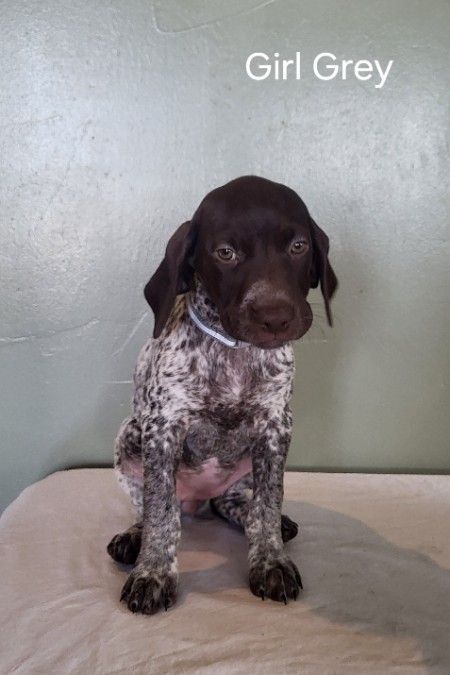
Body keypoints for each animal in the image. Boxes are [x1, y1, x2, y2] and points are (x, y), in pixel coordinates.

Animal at [106, 177, 338, 616]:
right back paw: (134, 536)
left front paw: (271, 560)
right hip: (129, 436)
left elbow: (268, 502)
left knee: (233, 503)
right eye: (225, 253)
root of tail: (198, 500)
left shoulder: (275, 428)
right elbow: (160, 512)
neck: (234, 352)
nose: (276, 317)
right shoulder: (162, 429)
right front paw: (154, 573)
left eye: (298, 246)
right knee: (150, 504)